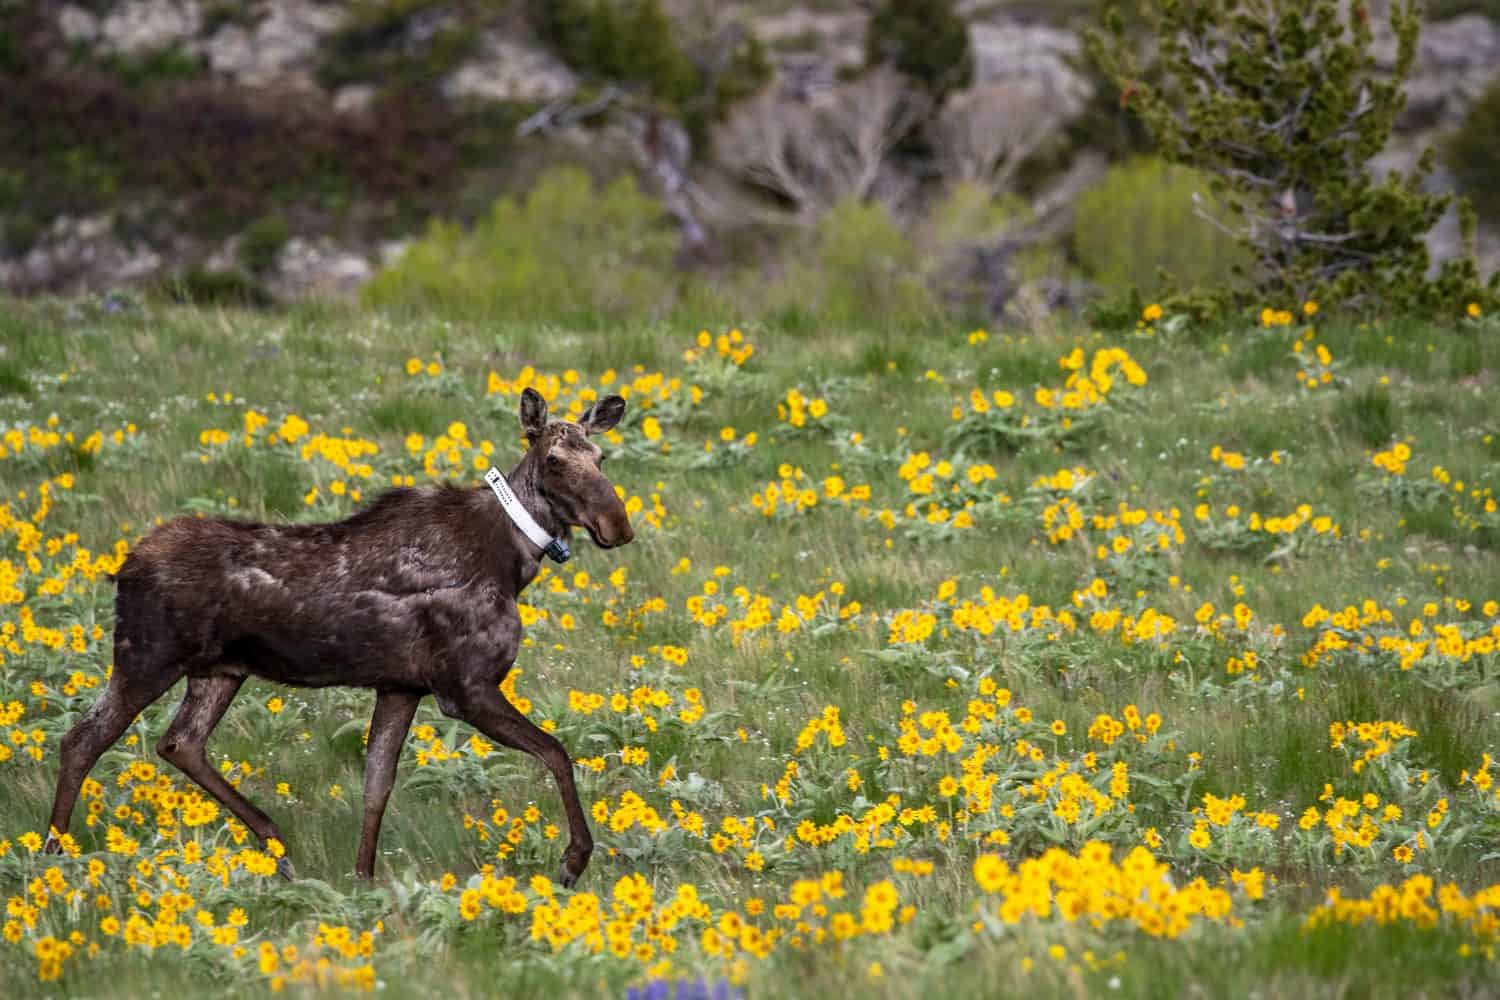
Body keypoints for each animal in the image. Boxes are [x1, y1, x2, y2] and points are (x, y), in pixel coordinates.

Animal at [43, 387, 632, 888]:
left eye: (601, 459)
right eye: (554, 460)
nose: (617, 525)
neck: (516, 561)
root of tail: (122, 569)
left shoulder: (402, 686)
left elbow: (376, 786)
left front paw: (363, 880)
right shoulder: (464, 687)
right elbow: (557, 751)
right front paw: (573, 860)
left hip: (217, 672)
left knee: (179, 742)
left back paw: (276, 845)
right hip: (145, 658)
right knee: (82, 740)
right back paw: (52, 860)